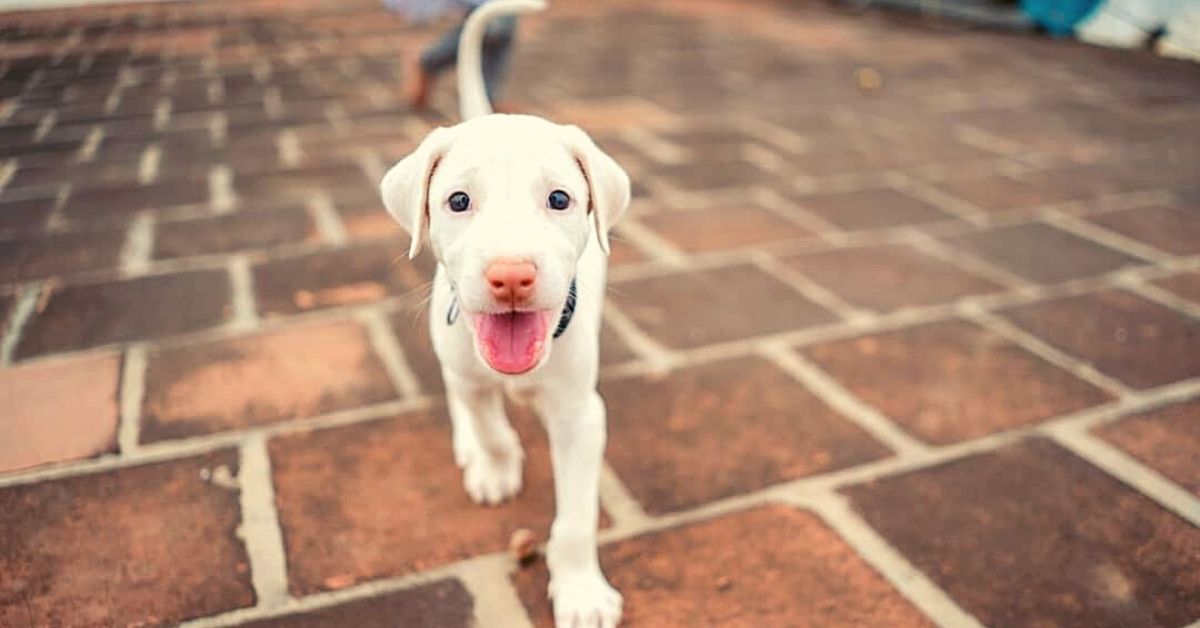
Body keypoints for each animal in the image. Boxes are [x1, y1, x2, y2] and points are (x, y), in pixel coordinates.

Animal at [379, 2, 633, 624]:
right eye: (458, 201)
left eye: (560, 199)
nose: (512, 276)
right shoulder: (469, 370)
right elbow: (487, 420)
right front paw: (496, 463)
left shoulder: (581, 416)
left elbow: (575, 520)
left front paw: (581, 591)